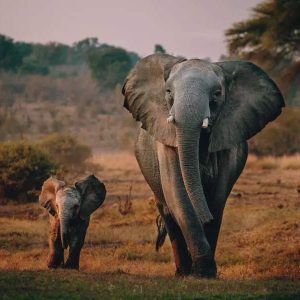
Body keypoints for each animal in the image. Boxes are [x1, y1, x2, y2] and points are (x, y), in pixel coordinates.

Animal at [121, 54, 284, 278]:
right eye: (168, 92)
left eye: (217, 94)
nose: (205, 217)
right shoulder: (166, 140)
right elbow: (177, 195)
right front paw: (201, 271)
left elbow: (217, 198)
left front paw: (206, 273)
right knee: (168, 211)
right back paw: (182, 272)